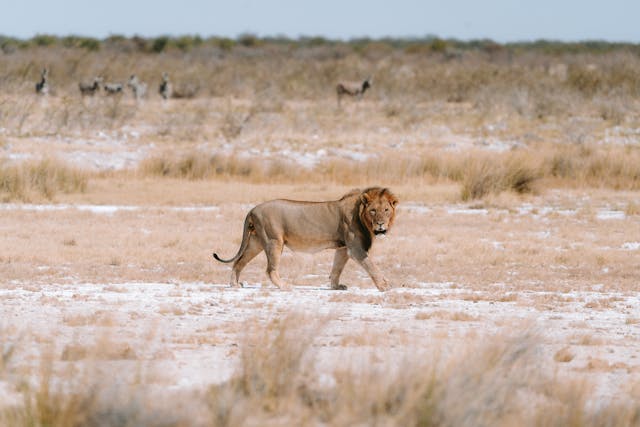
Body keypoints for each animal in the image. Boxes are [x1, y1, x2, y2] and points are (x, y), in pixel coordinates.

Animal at [213, 187, 398, 291]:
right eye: (373, 210)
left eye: (386, 210)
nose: (381, 224)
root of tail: (253, 209)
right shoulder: (355, 249)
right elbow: (371, 266)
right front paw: (384, 286)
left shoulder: (343, 248)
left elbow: (336, 269)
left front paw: (336, 287)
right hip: (274, 241)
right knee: (270, 269)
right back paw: (285, 286)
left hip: (256, 242)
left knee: (239, 262)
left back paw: (234, 284)